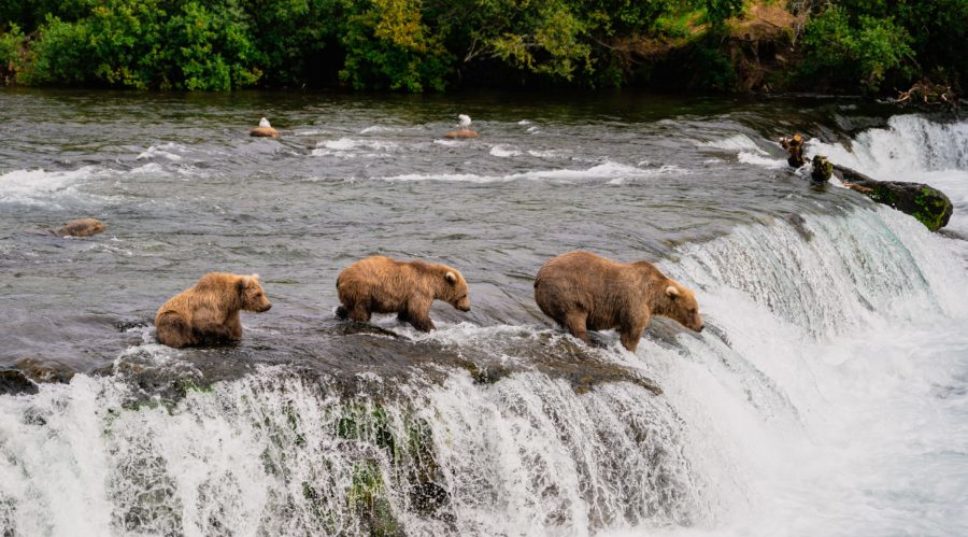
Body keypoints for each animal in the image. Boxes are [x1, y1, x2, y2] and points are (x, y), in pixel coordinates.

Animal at [336, 255, 472, 330]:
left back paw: (340, 313)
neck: (434, 284)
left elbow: (406, 313)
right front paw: (432, 329)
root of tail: (340, 276)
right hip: (362, 290)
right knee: (362, 310)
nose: (468, 308)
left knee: (348, 306)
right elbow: (418, 313)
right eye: (464, 294)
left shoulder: (408, 297)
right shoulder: (420, 291)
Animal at [536, 251, 704, 352]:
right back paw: (590, 341)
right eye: (692, 309)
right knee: (575, 318)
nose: (701, 326)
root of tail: (538, 277)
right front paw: (630, 349)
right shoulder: (635, 301)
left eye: (696, 308)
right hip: (568, 292)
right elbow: (632, 332)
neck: (653, 297)